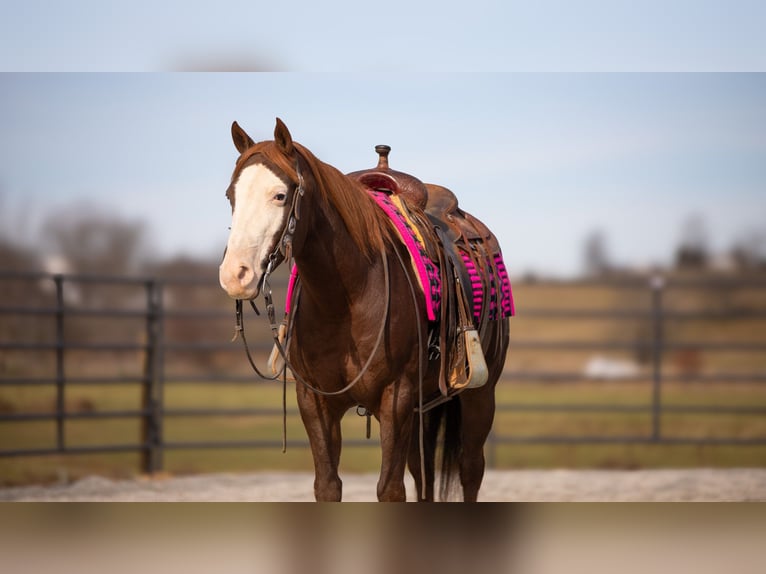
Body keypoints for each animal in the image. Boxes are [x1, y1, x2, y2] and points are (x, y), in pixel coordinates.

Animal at [219, 119, 512, 502]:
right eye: (231, 196)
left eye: (280, 195)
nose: (235, 275)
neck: (345, 302)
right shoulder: (314, 402)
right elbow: (328, 486)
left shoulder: (396, 400)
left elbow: (390, 489)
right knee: (423, 472)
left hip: (480, 395)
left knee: (470, 469)